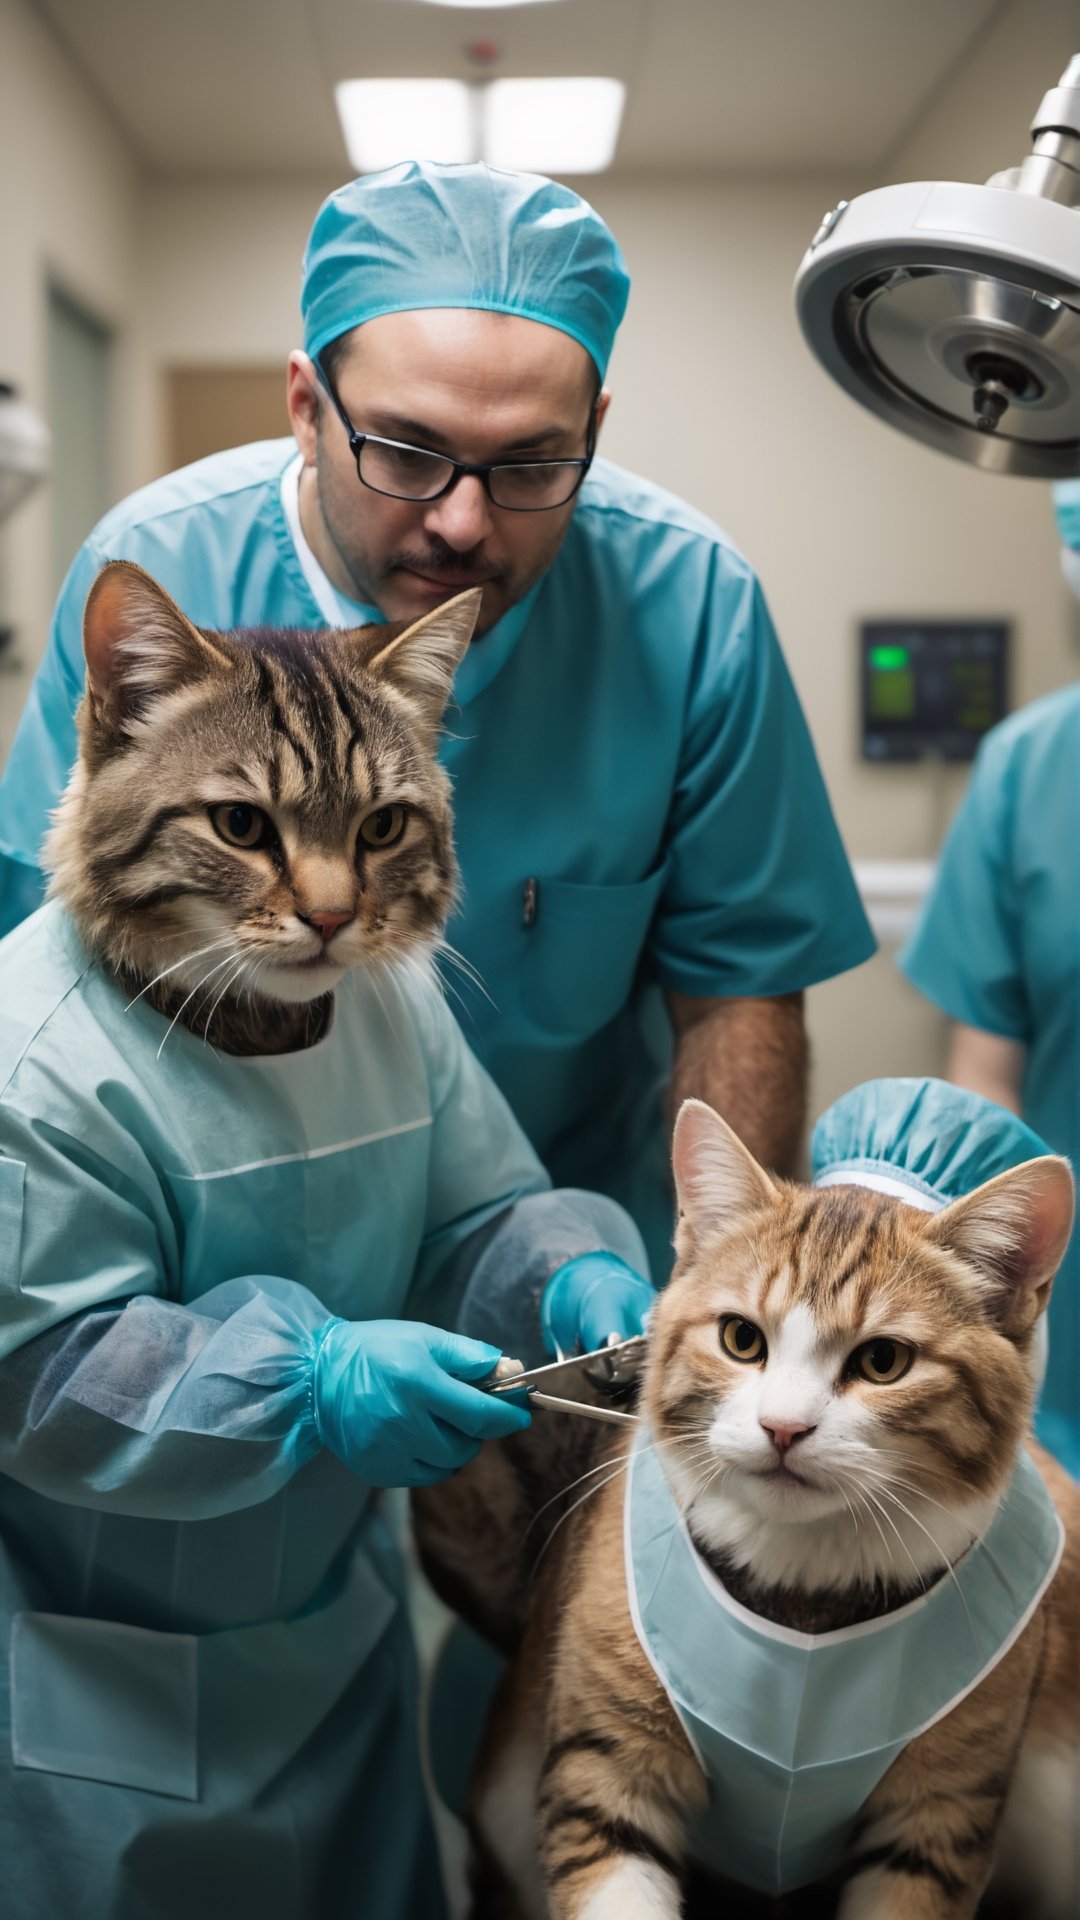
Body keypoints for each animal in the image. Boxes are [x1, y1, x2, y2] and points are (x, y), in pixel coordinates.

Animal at [411, 1098, 1076, 1920]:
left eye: (883, 1361)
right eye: (740, 1338)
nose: (783, 1428)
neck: (804, 1587)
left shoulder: (940, 1817)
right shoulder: (603, 1774)